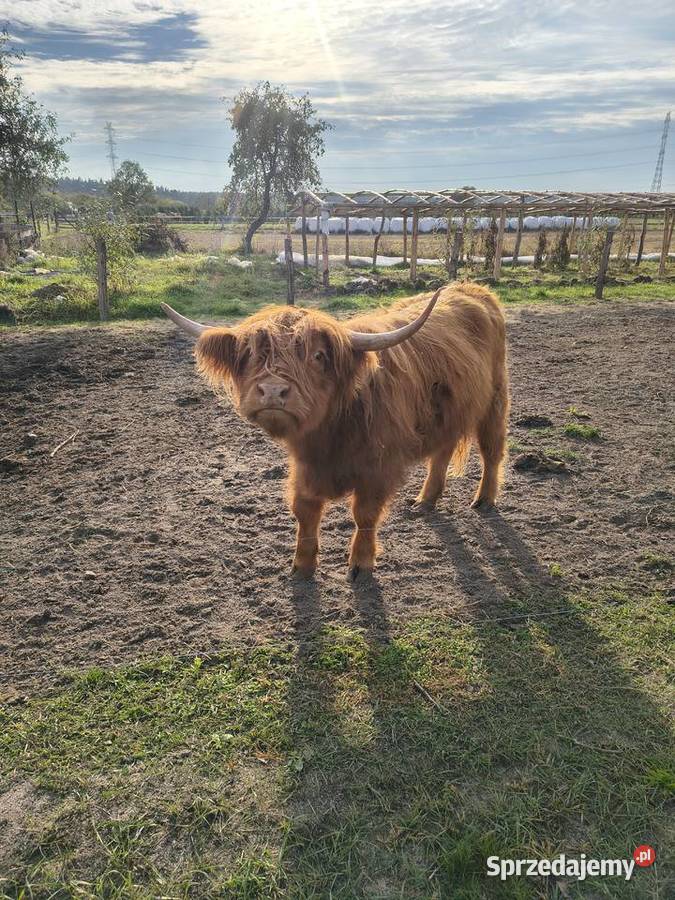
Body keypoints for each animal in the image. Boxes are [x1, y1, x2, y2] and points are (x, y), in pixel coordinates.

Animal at [162, 281, 509, 579]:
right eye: (249, 355)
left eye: (318, 356)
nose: (272, 391)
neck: (331, 435)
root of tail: (471, 288)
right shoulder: (305, 466)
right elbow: (304, 511)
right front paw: (301, 566)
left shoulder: (378, 468)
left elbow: (365, 515)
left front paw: (361, 563)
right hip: (449, 412)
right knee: (442, 450)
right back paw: (426, 499)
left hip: (495, 399)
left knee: (491, 450)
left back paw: (484, 499)